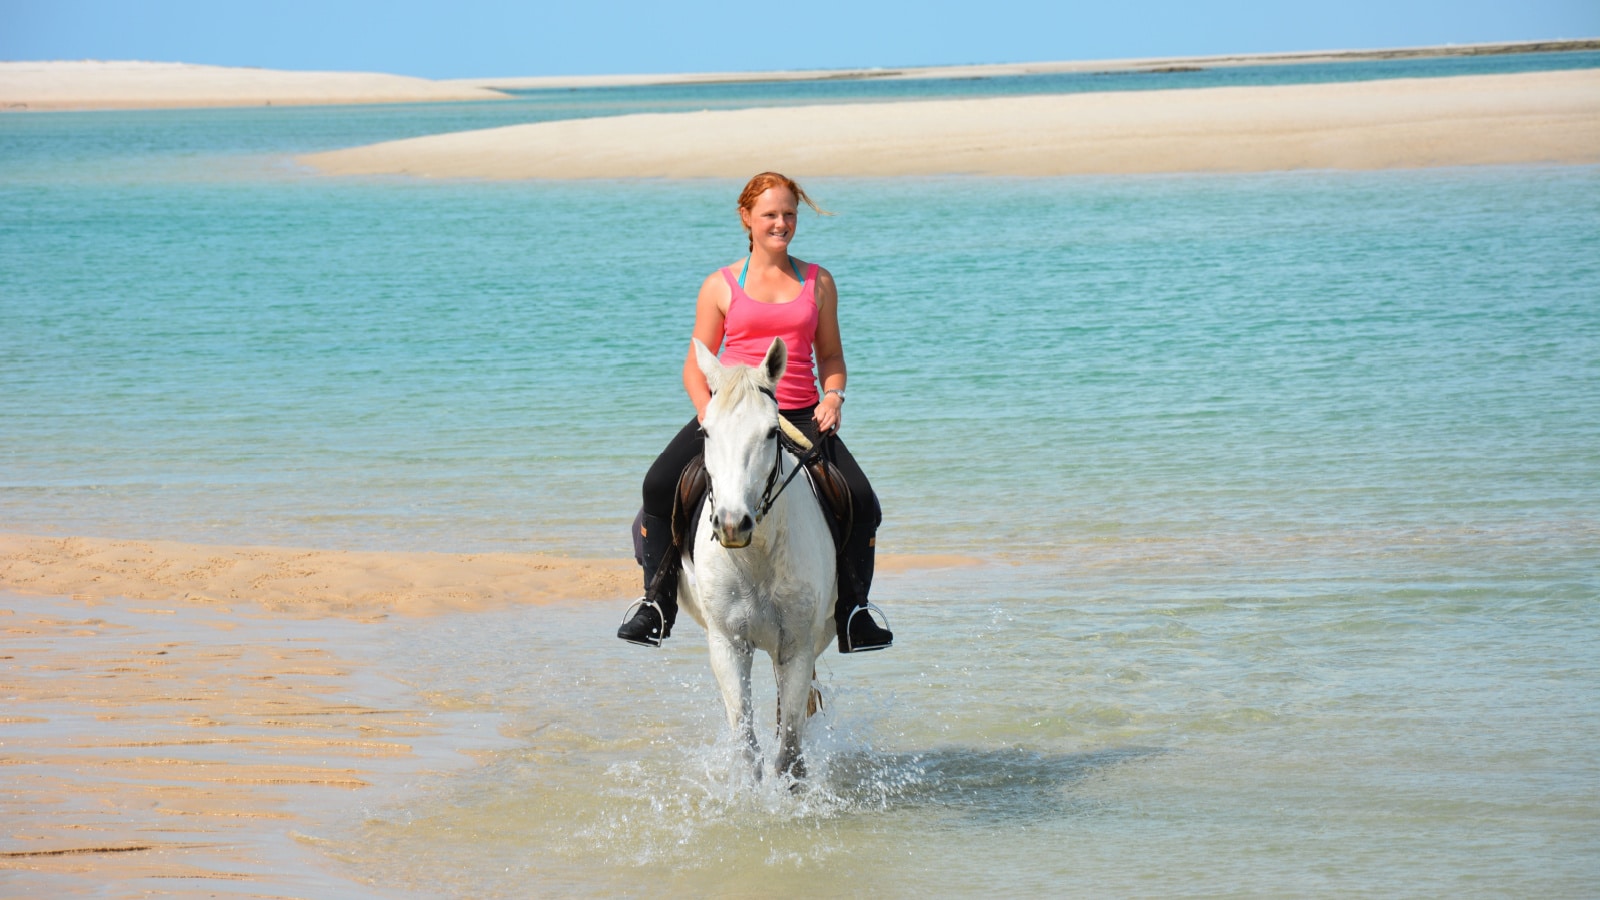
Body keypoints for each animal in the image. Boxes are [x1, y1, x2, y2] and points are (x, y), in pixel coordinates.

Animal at [675, 336, 838, 778]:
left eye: (770, 432)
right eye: (706, 430)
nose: (733, 524)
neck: (756, 558)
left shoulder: (796, 647)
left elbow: (790, 756)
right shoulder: (729, 645)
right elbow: (749, 752)